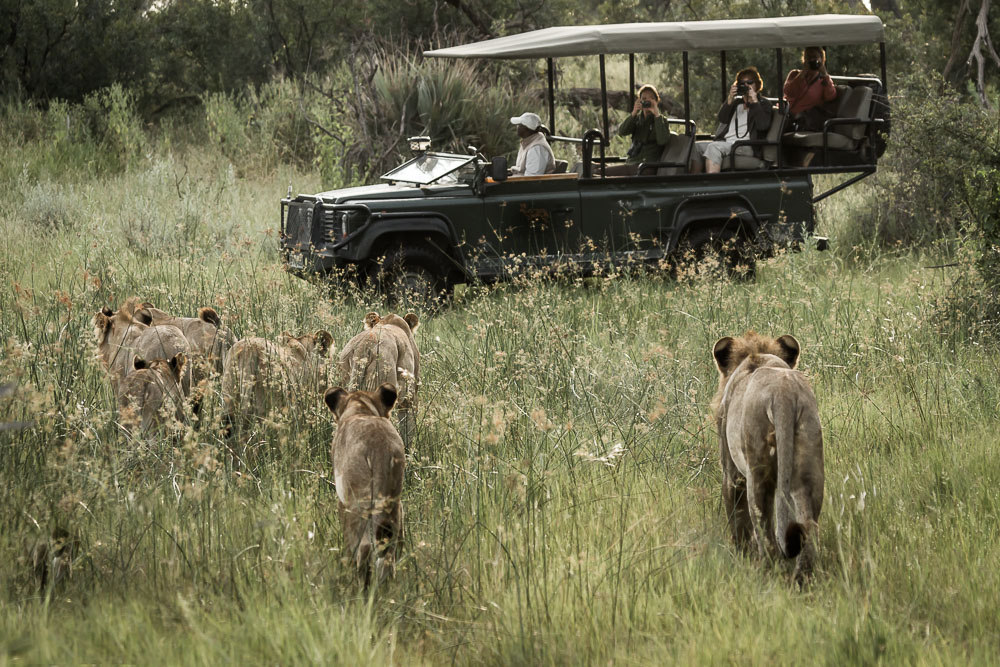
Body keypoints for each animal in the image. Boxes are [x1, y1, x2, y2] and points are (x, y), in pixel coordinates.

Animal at [328, 384, 406, 588]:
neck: (359, 408)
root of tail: (380, 447)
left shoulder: (343, 503)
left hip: (358, 502)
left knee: (363, 548)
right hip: (392, 501)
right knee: (387, 554)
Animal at [712, 334, 820, 584]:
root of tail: (783, 393)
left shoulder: (731, 472)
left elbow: (737, 517)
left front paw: (740, 554)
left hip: (757, 470)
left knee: (764, 530)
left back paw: (765, 572)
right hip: (810, 468)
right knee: (807, 525)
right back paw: (802, 579)